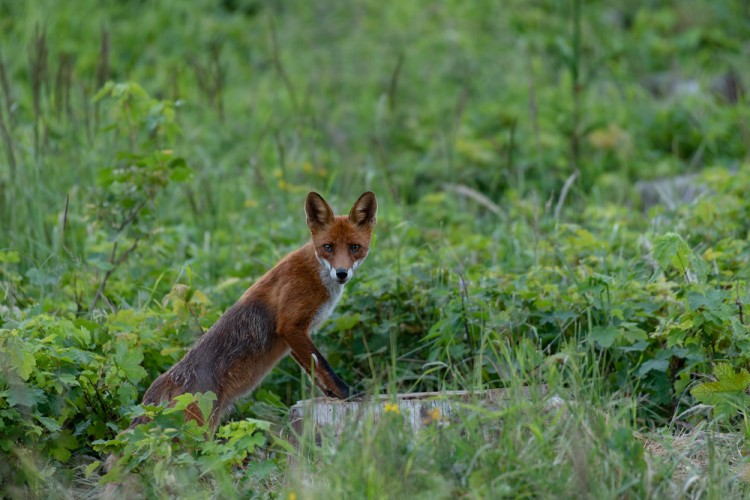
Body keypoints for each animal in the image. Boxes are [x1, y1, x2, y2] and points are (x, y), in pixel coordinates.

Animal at [131, 191, 376, 430]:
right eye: (328, 247)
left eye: (354, 247)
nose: (342, 273)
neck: (317, 273)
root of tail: (163, 383)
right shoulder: (290, 326)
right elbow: (323, 365)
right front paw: (348, 393)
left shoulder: (293, 337)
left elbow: (314, 371)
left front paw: (333, 395)